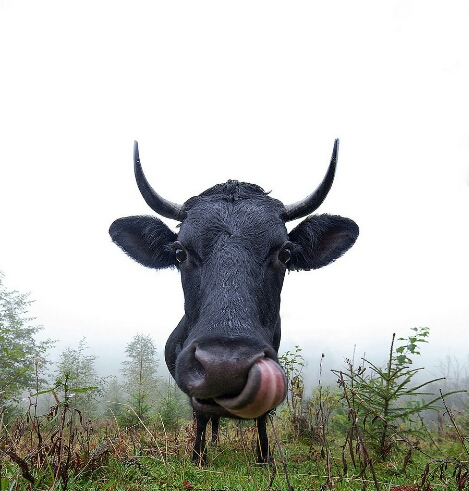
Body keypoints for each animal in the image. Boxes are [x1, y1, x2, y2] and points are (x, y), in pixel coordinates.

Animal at [109, 139, 358, 466]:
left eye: (285, 253)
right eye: (179, 252)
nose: (225, 367)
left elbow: (263, 415)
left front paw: (265, 457)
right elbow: (201, 413)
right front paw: (199, 457)